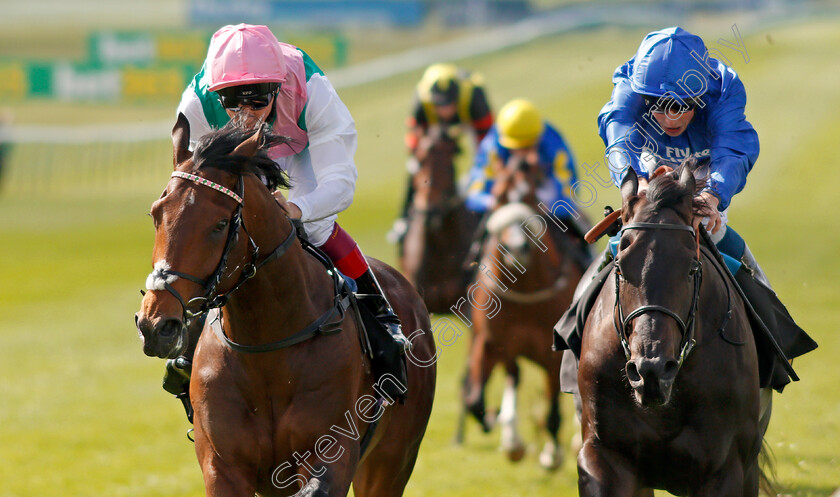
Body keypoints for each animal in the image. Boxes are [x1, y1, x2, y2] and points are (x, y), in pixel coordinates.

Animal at [135, 125, 436, 496]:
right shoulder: (222, 464)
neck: (267, 349)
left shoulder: (332, 453)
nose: (155, 324)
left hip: (392, 460)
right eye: (155, 214)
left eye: (220, 224)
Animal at [456, 155, 580, 468]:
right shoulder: (491, 343)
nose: (517, 248)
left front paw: (552, 455)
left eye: (530, 195)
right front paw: (498, 424)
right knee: (514, 377)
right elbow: (475, 400)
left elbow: (553, 409)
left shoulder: (552, 353)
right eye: (499, 196)